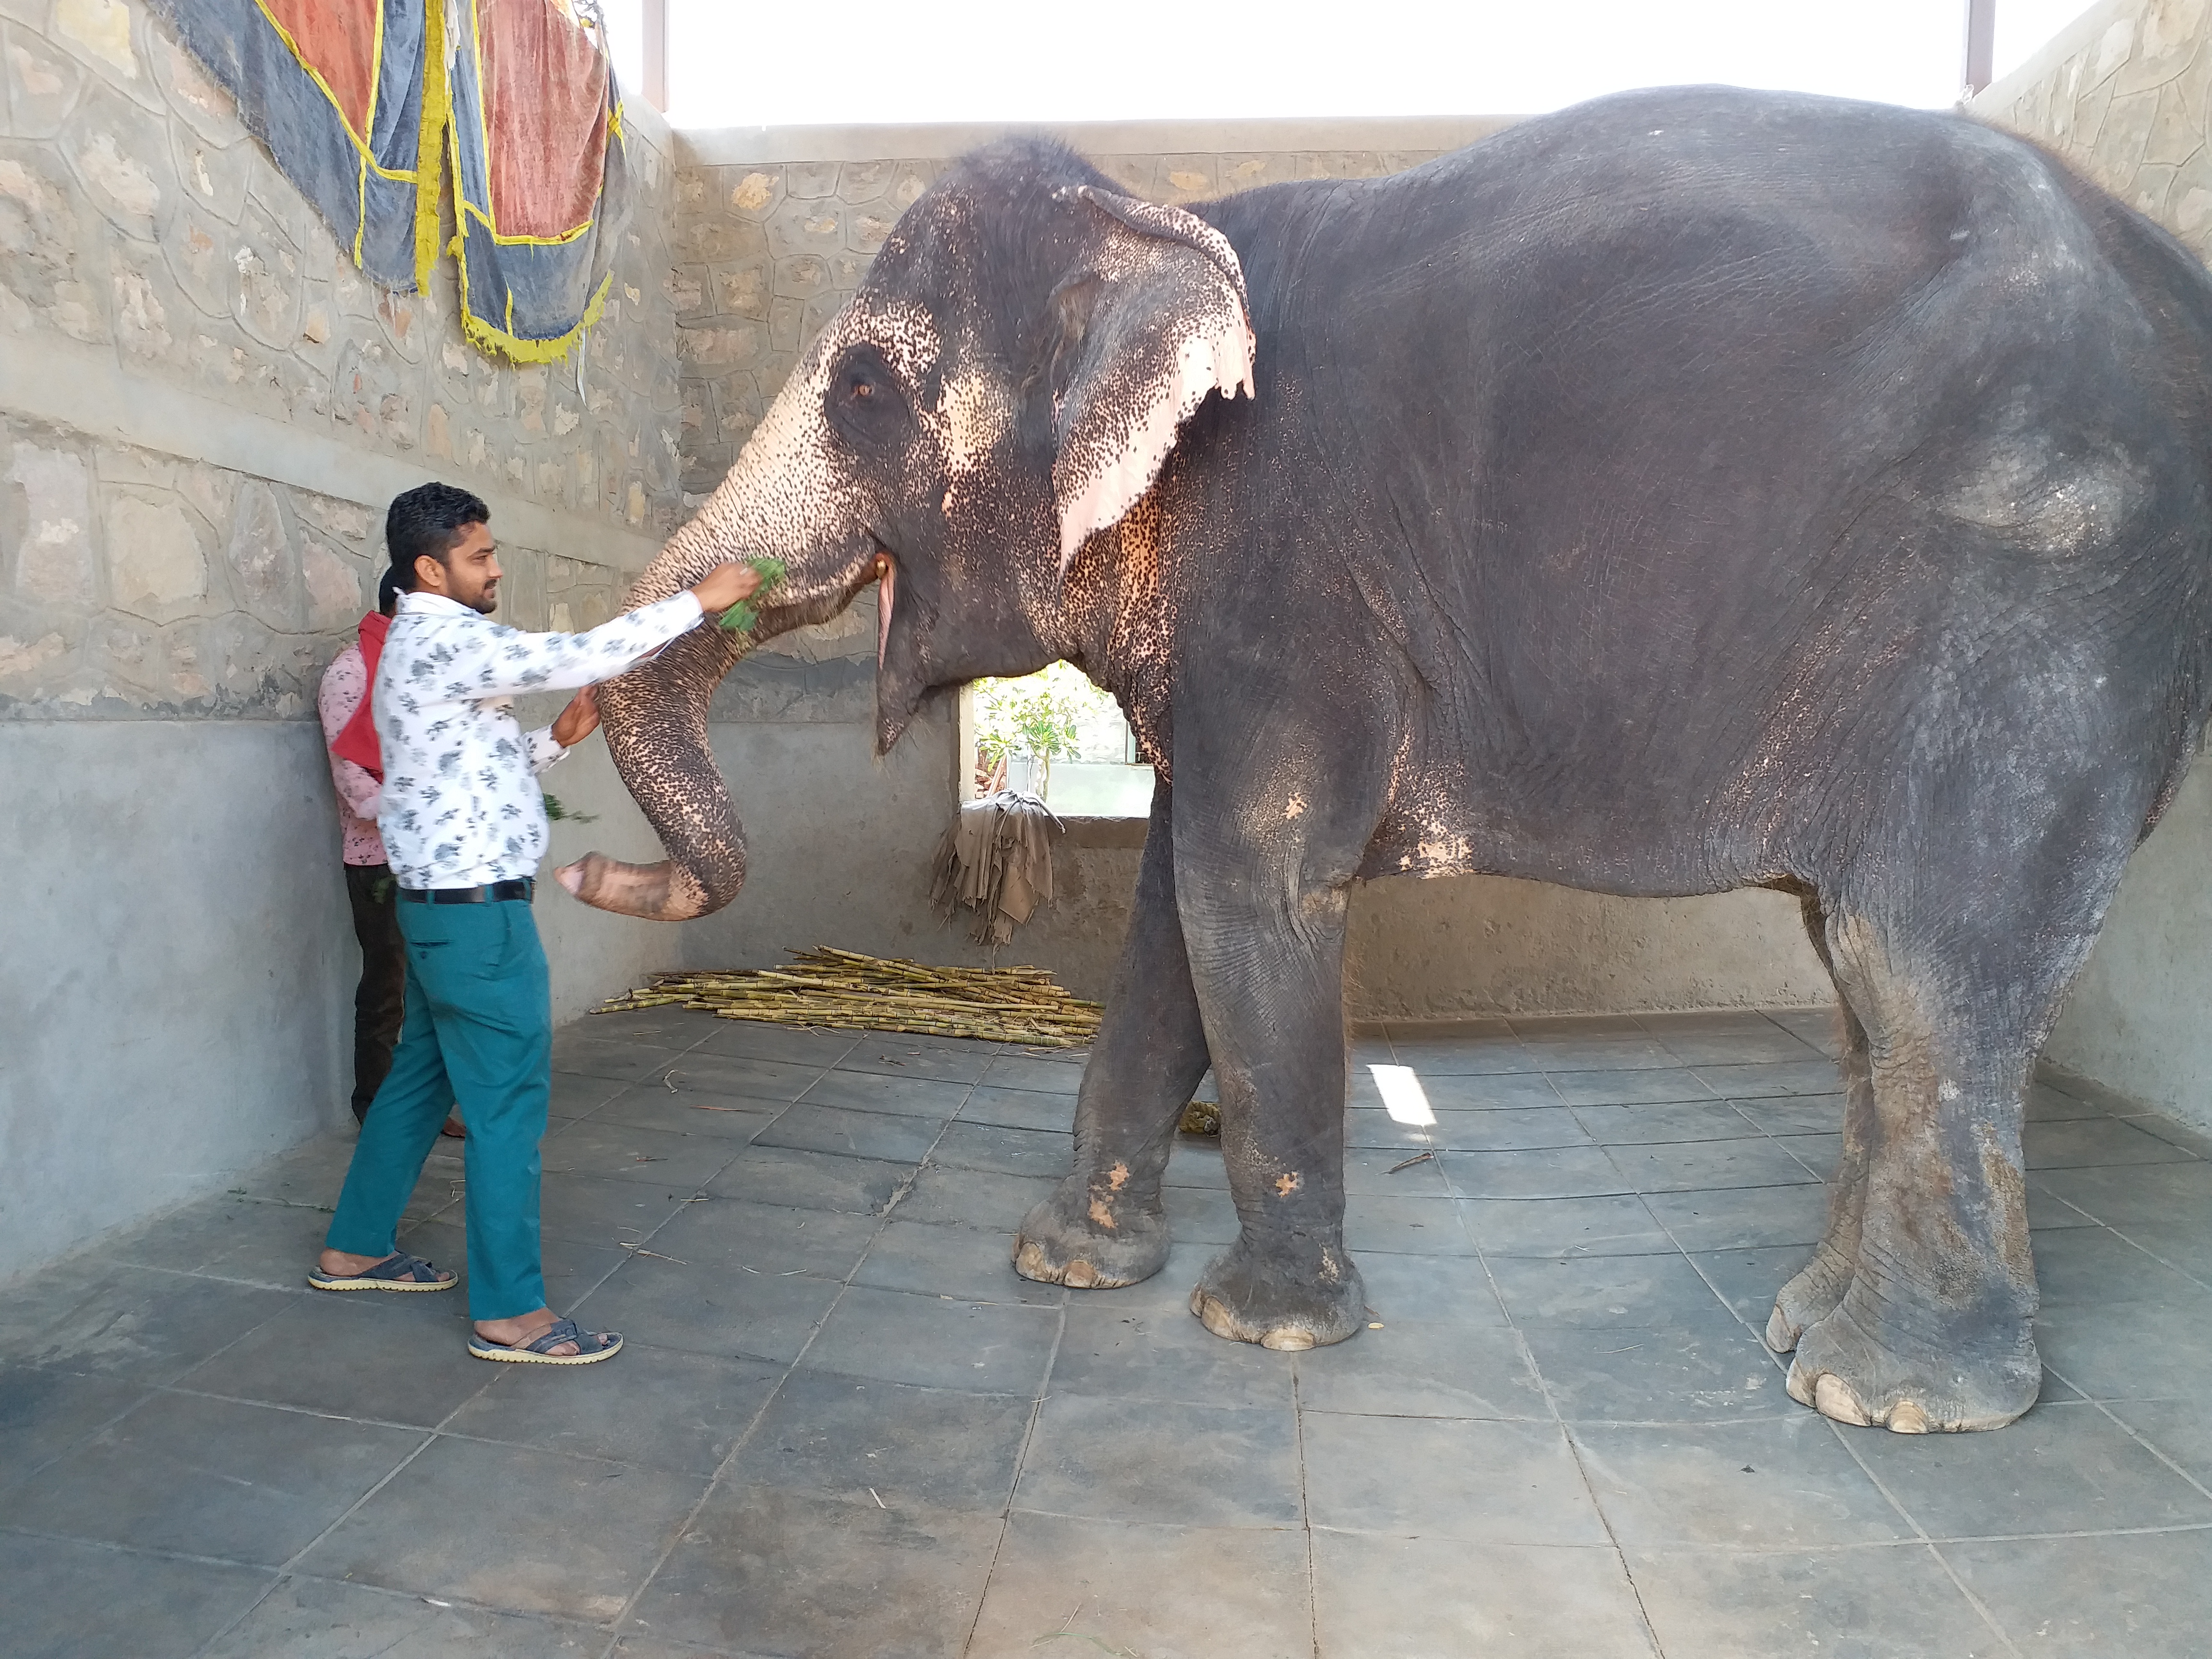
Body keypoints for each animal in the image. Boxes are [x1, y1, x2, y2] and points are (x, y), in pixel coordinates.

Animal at [562, 84, 2212, 1433]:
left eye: (860, 392)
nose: (580, 865)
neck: (1163, 224)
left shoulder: (1287, 569)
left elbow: (1249, 889)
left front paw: (1267, 1333)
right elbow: (1170, 908)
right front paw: (1073, 1269)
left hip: (2039, 596)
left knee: (1916, 958)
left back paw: (1891, 1399)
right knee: (1863, 973)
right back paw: (1809, 1332)